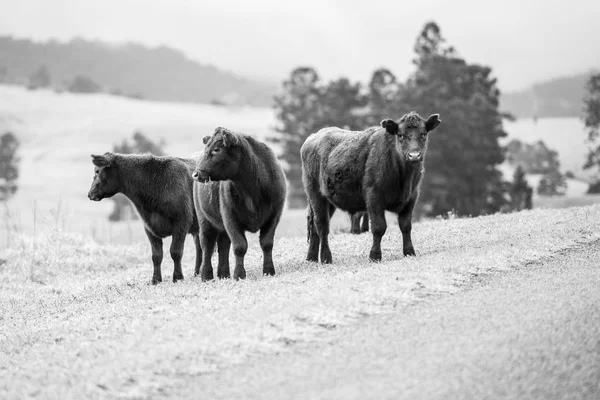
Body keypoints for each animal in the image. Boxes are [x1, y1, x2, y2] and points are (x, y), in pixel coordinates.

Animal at [86, 152, 200, 282]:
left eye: (97, 171)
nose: (90, 194)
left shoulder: (182, 221)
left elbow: (175, 252)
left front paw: (178, 277)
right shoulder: (148, 226)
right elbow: (156, 255)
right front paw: (155, 279)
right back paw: (197, 272)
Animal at [192, 128, 286, 282]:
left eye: (216, 149)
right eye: (207, 148)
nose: (196, 174)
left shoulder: (274, 216)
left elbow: (266, 243)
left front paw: (268, 270)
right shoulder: (230, 218)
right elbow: (239, 246)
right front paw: (239, 274)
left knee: (223, 245)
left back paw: (223, 274)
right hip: (204, 219)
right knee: (206, 244)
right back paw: (206, 275)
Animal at [300, 111, 440, 262]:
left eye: (424, 134)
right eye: (400, 135)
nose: (414, 155)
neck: (403, 177)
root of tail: (313, 137)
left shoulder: (412, 197)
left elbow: (406, 225)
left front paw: (409, 251)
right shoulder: (374, 196)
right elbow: (379, 227)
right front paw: (375, 255)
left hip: (329, 200)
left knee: (314, 228)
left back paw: (312, 257)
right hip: (315, 195)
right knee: (322, 226)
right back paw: (326, 257)